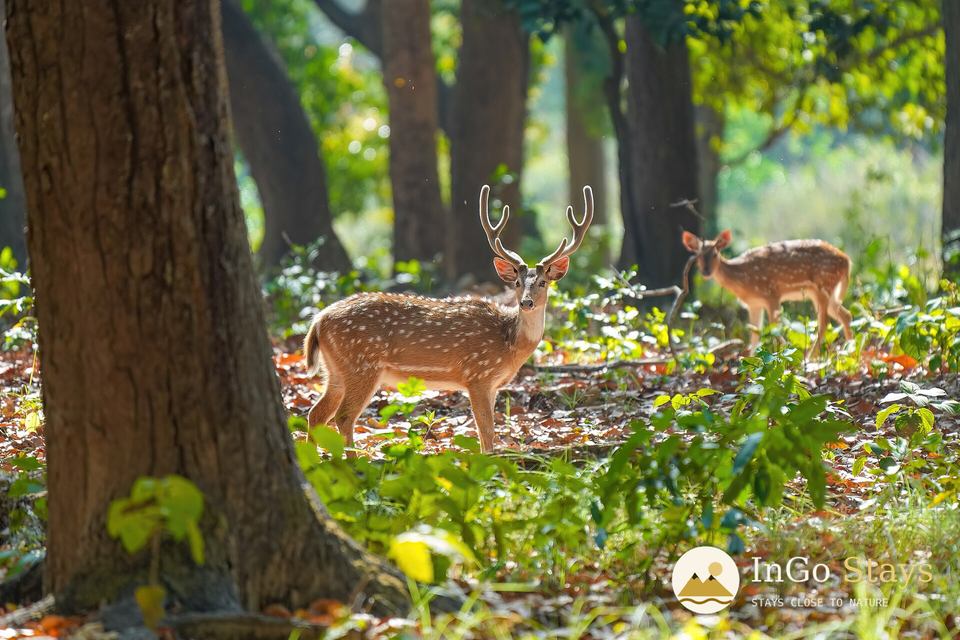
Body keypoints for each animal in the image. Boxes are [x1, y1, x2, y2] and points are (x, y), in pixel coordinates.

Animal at [303, 185, 594, 452]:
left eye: (543, 282)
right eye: (518, 283)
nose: (527, 302)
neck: (510, 345)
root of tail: (318, 321)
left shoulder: (493, 385)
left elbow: (487, 432)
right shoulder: (477, 375)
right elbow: (486, 432)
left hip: (336, 369)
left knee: (316, 413)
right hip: (362, 364)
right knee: (343, 416)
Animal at [681, 229, 853, 355]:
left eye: (715, 254)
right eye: (697, 256)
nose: (706, 271)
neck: (744, 282)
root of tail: (847, 261)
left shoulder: (772, 295)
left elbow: (774, 330)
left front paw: (784, 355)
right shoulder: (753, 304)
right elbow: (755, 335)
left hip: (823, 285)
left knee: (824, 323)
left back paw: (812, 357)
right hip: (823, 292)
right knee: (846, 315)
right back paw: (850, 351)